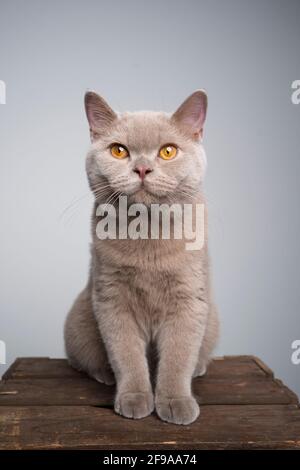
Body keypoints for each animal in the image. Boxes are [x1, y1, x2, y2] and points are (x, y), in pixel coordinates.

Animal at [64, 90, 218, 424]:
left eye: (168, 151)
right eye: (119, 151)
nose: (143, 169)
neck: (146, 232)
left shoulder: (189, 299)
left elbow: (178, 357)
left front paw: (175, 402)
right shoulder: (111, 297)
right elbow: (127, 355)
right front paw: (134, 398)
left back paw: (198, 370)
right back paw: (105, 375)